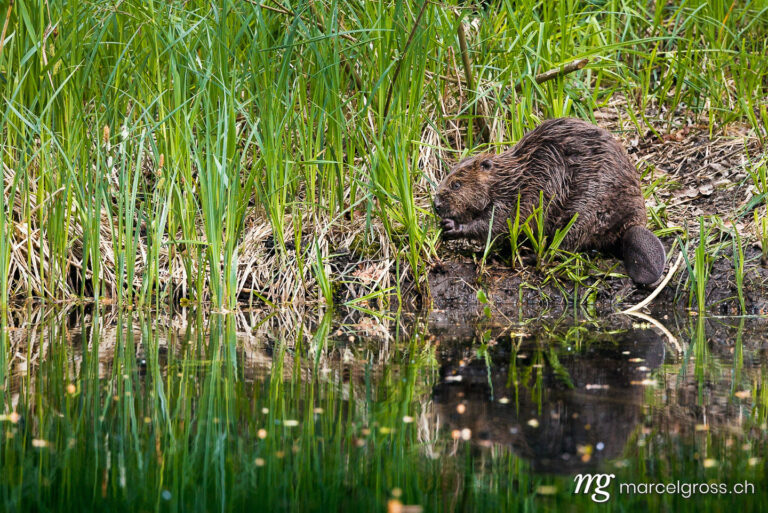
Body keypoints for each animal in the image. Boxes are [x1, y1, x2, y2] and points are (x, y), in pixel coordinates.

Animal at [432, 116, 664, 284]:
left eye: (456, 184)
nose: (436, 206)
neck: (512, 178)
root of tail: (631, 226)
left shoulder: (515, 199)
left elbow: (495, 224)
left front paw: (452, 227)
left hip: (584, 212)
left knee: (561, 249)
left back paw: (528, 257)